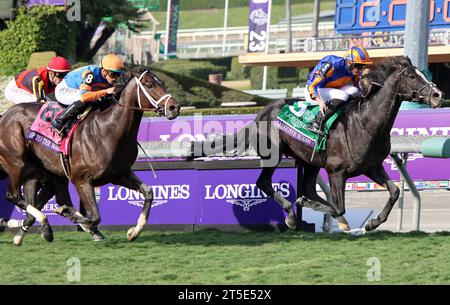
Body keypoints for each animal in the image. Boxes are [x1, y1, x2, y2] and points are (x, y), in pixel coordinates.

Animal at [0, 67, 180, 242]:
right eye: (149, 85)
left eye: (162, 83)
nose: (174, 107)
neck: (107, 131)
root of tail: (5, 115)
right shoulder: (81, 180)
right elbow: (94, 216)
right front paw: (67, 214)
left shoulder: (120, 174)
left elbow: (148, 193)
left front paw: (134, 232)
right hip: (17, 162)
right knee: (13, 195)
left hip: (39, 170)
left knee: (40, 200)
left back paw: (30, 231)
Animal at [209, 55, 442, 232]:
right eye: (411, 76)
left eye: (423, 73)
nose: (438, 95)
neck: (365, 123)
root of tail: (261, 114)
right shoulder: (336, 172)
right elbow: (339, 207)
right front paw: (307, 206)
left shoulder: (371, 167)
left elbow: (394, 192)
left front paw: (373, 223)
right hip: (273, 155)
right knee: (264, 183)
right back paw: (291, 216)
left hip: (310, 160)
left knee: (308, 188)